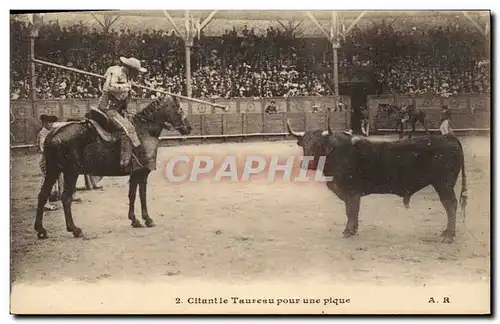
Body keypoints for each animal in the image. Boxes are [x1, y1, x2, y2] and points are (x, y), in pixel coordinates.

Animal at [34, 95, 191, 239]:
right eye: (179, 109)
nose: (188, 128)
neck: (145, 130)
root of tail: (53, 134)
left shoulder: (135, 174)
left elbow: (133, 195)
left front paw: (135, 220)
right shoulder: (142, 172)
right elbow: (141, 195)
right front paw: (147, 219)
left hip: (53, 170)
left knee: (43, 195)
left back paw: (41, 230)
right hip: (70, 172)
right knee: (66, 198)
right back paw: (74, 229)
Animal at [288, 119, 466, 243]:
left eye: (318, 145)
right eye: (304, 145)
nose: (306, 163)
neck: (338, 152)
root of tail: (449, 138)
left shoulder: (352, 192)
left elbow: (351, 211)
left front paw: (348, 231)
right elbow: (352, 212)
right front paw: (353, 230)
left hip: (444, 185)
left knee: (450, 205)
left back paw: (449, 236)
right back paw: (446, 233)